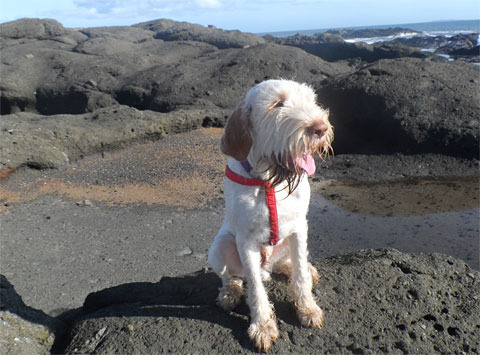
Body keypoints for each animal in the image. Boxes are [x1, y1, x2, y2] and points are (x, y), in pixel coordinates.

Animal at [206, 78, 334, 354]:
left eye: (311, 100)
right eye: (278, 104)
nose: (321, 128)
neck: (268, 180)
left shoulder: (299, 227)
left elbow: (299, 275)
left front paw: (307, 308)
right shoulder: (246, 241)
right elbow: (255, 288)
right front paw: (263, 327)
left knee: (286, 263)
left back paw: (301, 268)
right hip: (220, 246)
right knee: (233, 276)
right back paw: (229, 293)